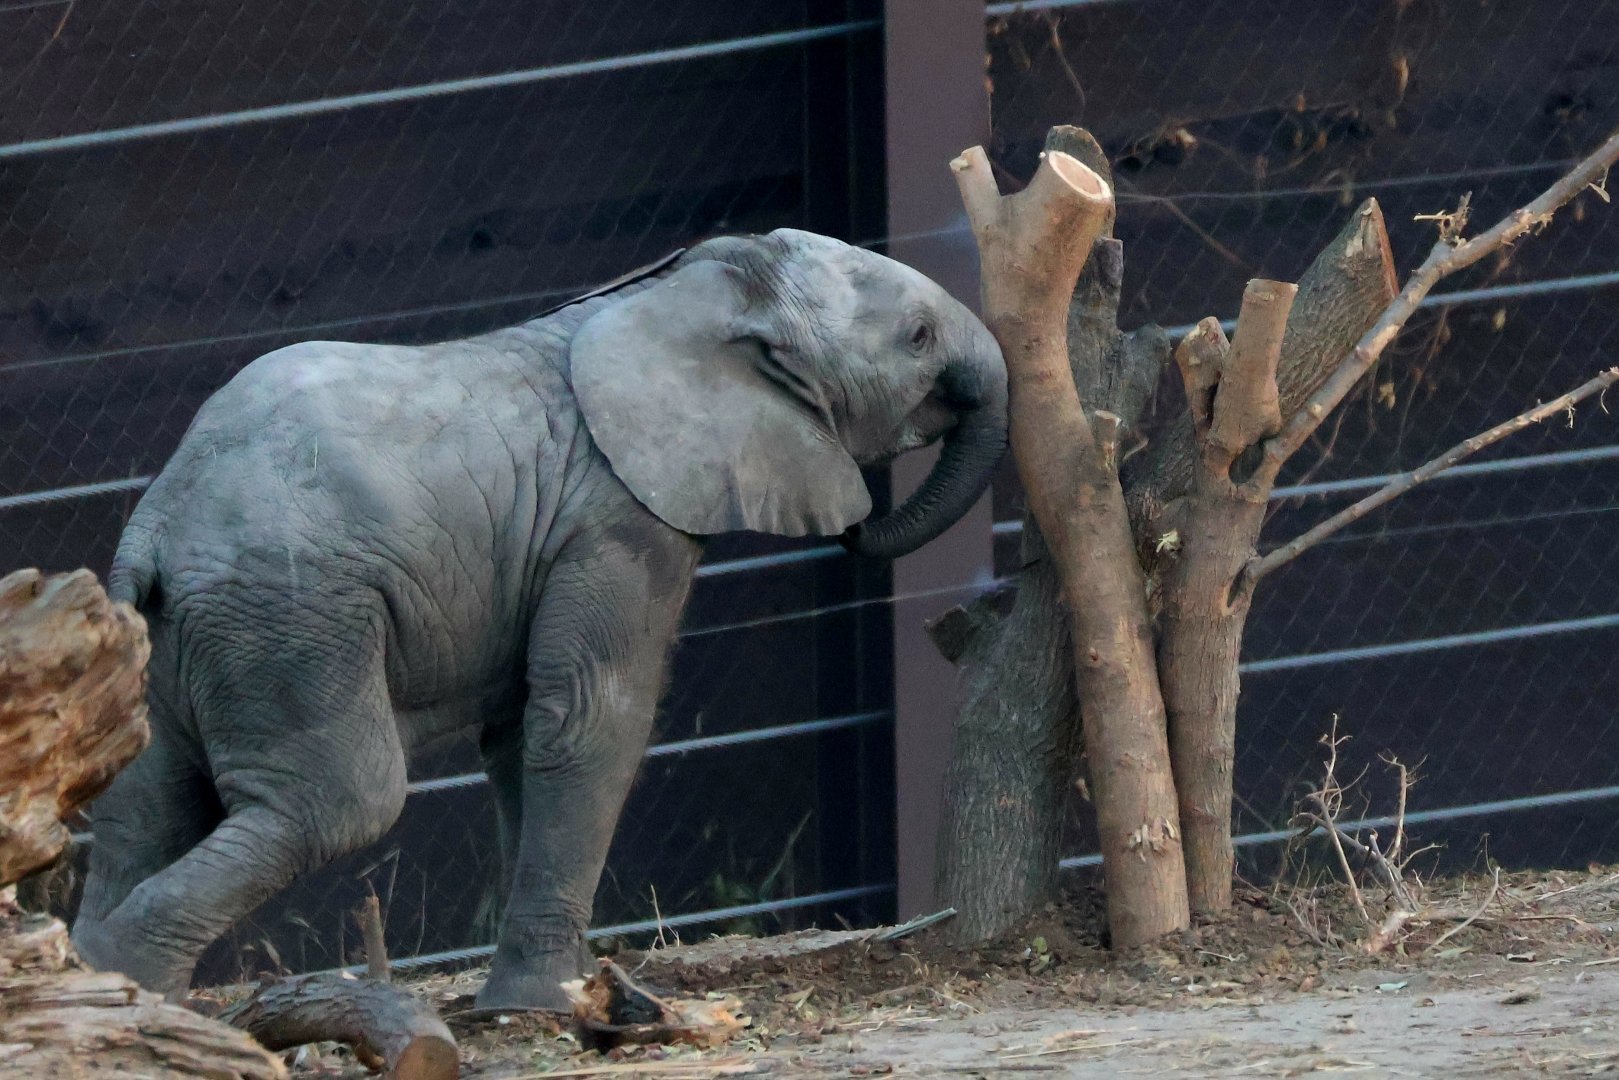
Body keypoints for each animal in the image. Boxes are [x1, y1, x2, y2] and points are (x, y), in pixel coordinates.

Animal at [69, 228, 1008, 1013]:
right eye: (918, 338)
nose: (858, 529)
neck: (688, 295)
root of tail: (157, 523)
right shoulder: (618, 519)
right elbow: (592, 716)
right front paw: (547, 1004)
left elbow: (523, 736)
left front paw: (555, 994)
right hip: (291, 618)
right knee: (341, 802)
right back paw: (130, 991)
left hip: (178, 643)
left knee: (143, 809)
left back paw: (89, 986)